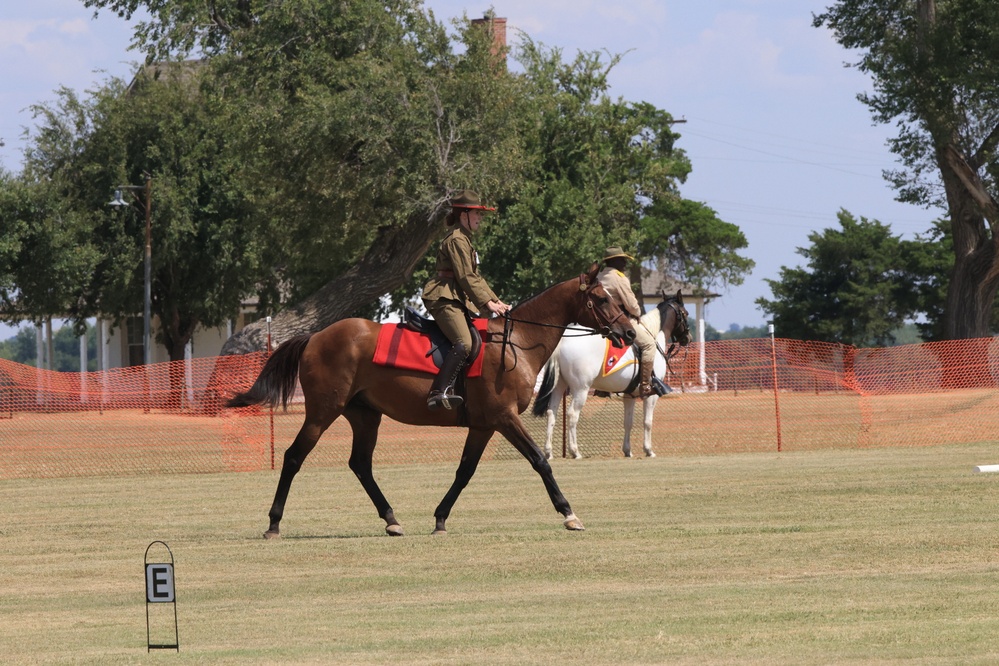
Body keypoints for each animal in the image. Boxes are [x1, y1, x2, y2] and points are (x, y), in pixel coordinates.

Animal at [228, 262, 636, 536]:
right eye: (602, 298)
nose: (629, 332)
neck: (517, 340)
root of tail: (315, 336)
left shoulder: (484, 425)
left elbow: (465, 471)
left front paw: (440, 517)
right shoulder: (505, 418)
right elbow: (540, 461)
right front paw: (568, 513)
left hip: (364, 416)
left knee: (360, 465)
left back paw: (391, 519)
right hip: (322, 412)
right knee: (294, 457)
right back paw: (274, 523)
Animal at [536, 290, 692, 456]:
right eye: (685, 313)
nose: (688, 338)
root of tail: (563, 340)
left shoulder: (630, 395)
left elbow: (628, 422)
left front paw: (628, 450)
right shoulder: (651, 396)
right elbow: (647, 422)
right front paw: (648, 450)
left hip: (559, 386)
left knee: (552, 413)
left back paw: (548, 451)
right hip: (580, 389)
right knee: (572, 414)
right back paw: (575, 451)